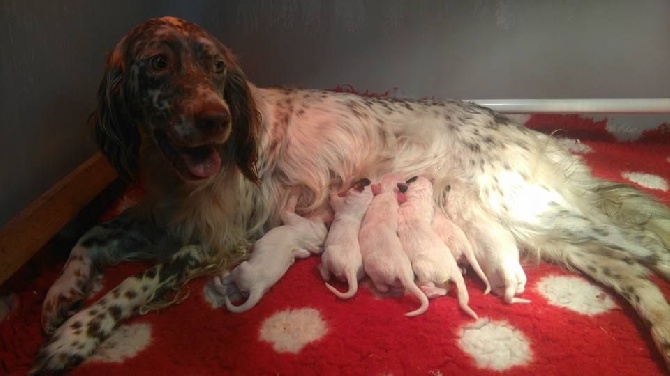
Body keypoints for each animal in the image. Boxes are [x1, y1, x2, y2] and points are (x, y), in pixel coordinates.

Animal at [360, 175, 428, 316]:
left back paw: (380, 286)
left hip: (375, 270)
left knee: (382, 286)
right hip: (408, 267)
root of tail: (402, 272)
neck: (388, 194)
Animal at [396, 177, 480, 320]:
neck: (419, 198)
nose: (400, 182)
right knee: (446, 287)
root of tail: (453, 269)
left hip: (421, 266)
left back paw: (424, 289)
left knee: (435, 285)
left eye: (410, 179)